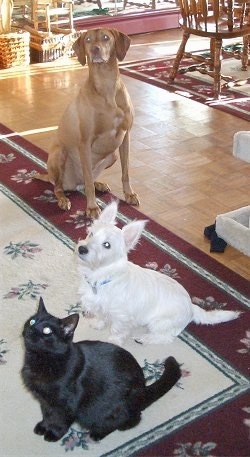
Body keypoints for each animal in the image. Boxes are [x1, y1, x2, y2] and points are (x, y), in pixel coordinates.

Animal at [21, 296, 182, 442]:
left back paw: (98, 433)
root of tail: (143, 390)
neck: (41, 360)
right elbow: (47, 414)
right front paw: (43, 426)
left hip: (109, 411)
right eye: (32, 321)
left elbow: (60, 419)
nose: (31, 330)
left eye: (47, 331)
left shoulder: (66, 404)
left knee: (130, 420)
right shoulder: (44, 400)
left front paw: (54, 434)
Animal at [33, 27, 139, 218]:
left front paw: (129, 194)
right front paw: (92, 207)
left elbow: (125, 171)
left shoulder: (125, 136)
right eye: (88, 40)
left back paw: (100, 184)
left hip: (112, 155)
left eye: (105, 37)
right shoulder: (85, 142)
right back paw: (63, 200)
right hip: (60, 154)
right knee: (60, 187)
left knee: (86, 181)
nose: (95, 50)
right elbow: (89, 180)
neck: (106, 85)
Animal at [77, 201, 239, 344]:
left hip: (158, 323)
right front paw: (97, 324)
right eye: (91, 234)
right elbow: (101, 317)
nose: (82, 249)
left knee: (166, 338)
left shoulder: (121, 316)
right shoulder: (99, 306)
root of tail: (191, 307)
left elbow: (118, 330)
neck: (101, 277)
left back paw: (143, 338)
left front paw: (113, 341)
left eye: (107, 245)